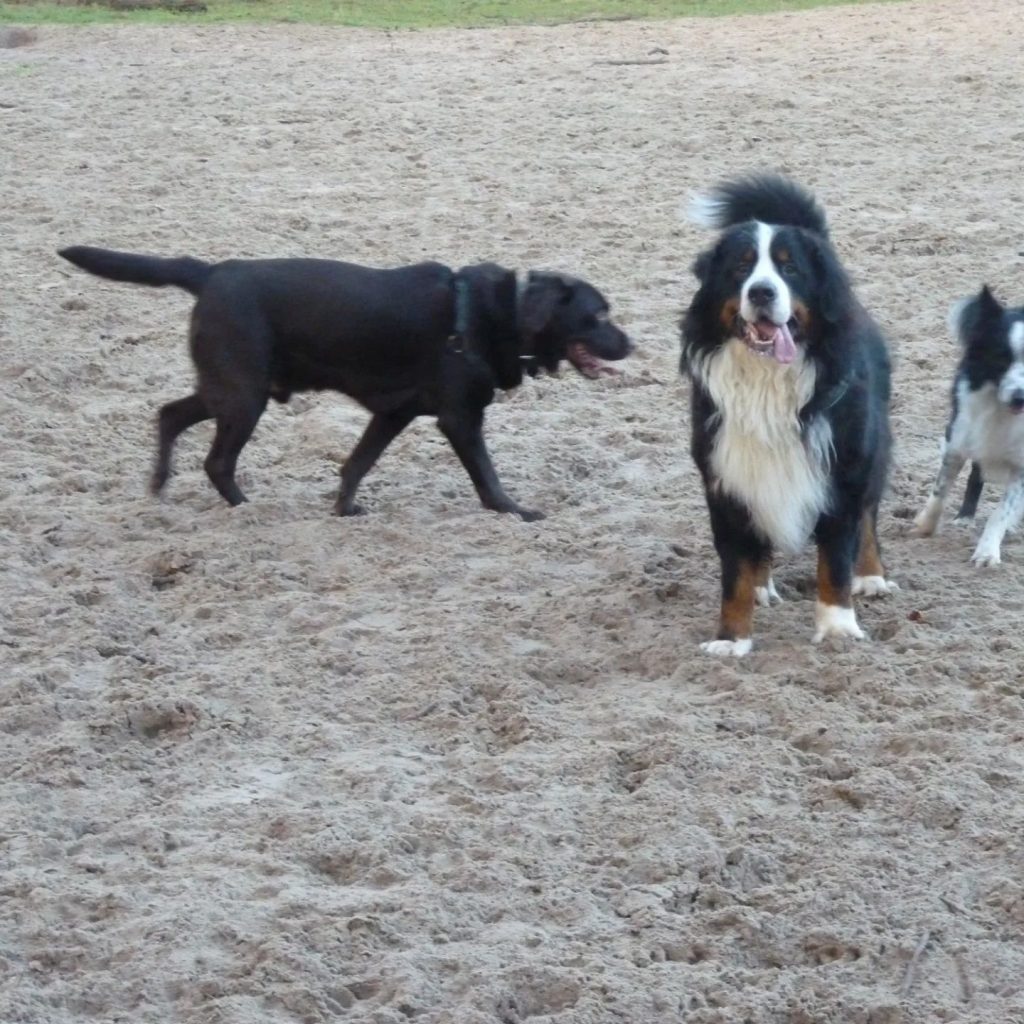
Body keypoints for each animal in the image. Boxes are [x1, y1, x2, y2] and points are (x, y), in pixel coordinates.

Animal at [59, 245, 630, 520]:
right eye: (599, 315)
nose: (632, 345)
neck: (501, 313)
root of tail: (212, 272)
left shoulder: (394, 412)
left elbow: (357, 462)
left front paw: (344, 509)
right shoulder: (460, 418)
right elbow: (487, 478)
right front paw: (517, 512)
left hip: (232, 385)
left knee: (170, 413)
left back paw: (159, 483)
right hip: (244, 394)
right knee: (215, 460)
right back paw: (245, 509)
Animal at [679, 175, 897, 655]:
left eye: (789, 269)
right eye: (741, 268)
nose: (762, 291)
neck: (767, 381)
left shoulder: (841, 473)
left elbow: (835, 560)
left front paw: (837, 627)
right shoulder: (726, 479)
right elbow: (736, 571)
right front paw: (731, 639)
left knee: (868, 517)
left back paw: (871, 576)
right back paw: (764, 585)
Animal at [913, 284, 1024, 565]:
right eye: (1001, 357)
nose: (1020, 397)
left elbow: (1002, 511)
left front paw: (987, 552)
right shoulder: (959, 437)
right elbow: (940, 488)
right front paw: (925, 526)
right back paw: (964, 518)